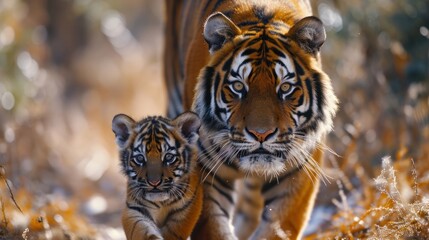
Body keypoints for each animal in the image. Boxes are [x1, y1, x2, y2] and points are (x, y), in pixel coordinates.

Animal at [112, 112, 202, 240]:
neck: (161, 203)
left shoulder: (187, 208)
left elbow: (172, 233)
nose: (154, 182)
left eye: (169, 157)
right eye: (140, 158)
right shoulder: (135, 209)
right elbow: (143, 231)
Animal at [164, 0, 338, 239]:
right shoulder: (203, 169)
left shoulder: (300, 169)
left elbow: (278, 226)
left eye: (285, 88)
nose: (261, 134)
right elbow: (212, 227)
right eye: (238, 86)